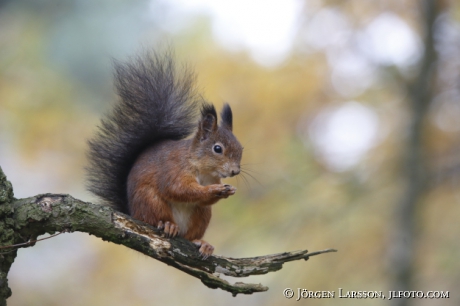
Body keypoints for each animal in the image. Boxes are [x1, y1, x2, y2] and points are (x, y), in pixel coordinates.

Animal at [87, 52, 244, 258]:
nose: (235, 171)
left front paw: (228, 191)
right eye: (217, 149)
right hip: (149, 201)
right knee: (155, 218)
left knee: (191, 234)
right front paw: (214, 190)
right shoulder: (174, 168)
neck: (201, 168)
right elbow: (178, 189)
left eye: (241, 148)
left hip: (202, 213)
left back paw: (201, 243)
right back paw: (168, 225)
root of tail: (132, 213)